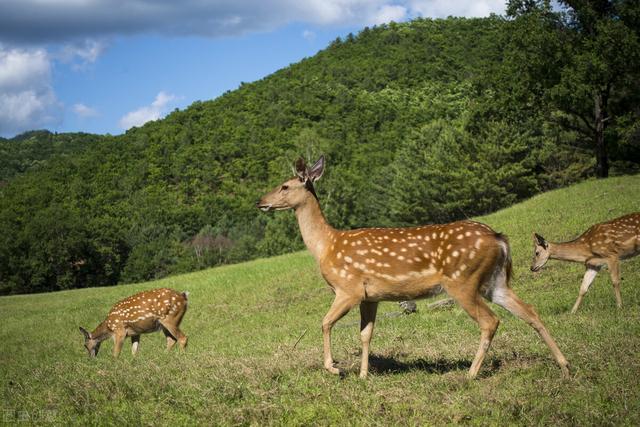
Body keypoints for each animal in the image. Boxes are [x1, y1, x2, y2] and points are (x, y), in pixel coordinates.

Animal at [258, 155, 568, 380]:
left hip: (462, 280)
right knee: (530, 311)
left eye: (285, 185)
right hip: (496, 281)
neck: (326, 245)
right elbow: (366, 334)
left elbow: (325, 322)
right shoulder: (370, 296)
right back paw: (564, 365)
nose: (261, 201)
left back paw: (470, 374)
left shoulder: (348, 288)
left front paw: (334, 368)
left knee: (490, 321)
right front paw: (363, 375)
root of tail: (499, 239)